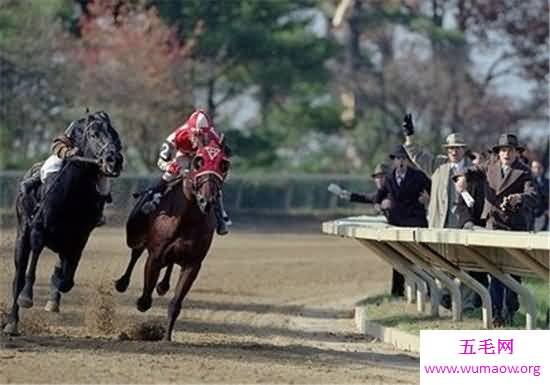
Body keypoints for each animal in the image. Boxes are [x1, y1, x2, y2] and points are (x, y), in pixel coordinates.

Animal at [2, 110, 123, 332]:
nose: (113, 160)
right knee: (18, 276)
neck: (72, 196)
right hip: (21, 234)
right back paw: (12, 322)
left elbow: (66, 280)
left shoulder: (79, 238)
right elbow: (32, 265)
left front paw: (53, 295)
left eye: (115, 135)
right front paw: (26, 297)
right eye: (93, 134)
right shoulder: (38, 229)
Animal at [115, 140, 230, 340]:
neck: (187, 217)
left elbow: (176, 303)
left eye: (223, 165)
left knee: (168, 264)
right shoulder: (155, 255)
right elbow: (145, 299)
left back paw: (162, 286)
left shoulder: (193, 263)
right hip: (136, 235)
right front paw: (141, 302)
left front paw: (166, 337)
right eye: (198, 162)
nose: (206, 201)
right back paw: (122, 283)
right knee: (136, 253)